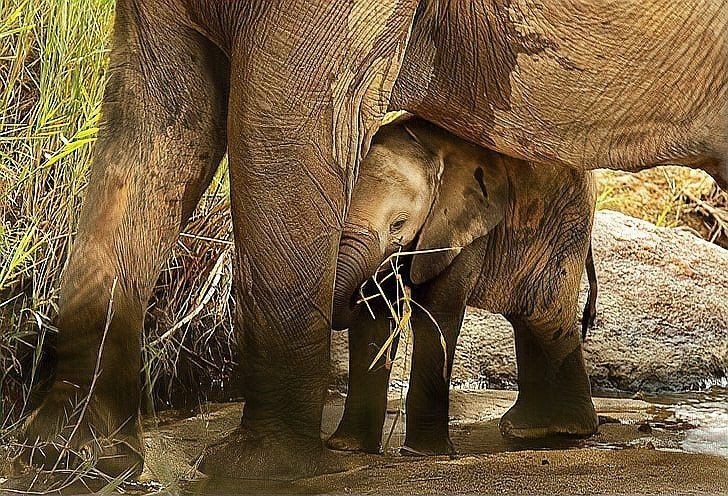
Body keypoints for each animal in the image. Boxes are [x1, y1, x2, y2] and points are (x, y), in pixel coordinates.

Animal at [329, 116, 598, 454]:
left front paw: (424, 453)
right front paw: (348, 447)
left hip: (565, 228)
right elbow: (374, 317)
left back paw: (565, 429)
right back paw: (530, 429)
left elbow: (437, 311)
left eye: (398, 224)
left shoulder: (464, 221)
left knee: (547, 317)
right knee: (529, 319)